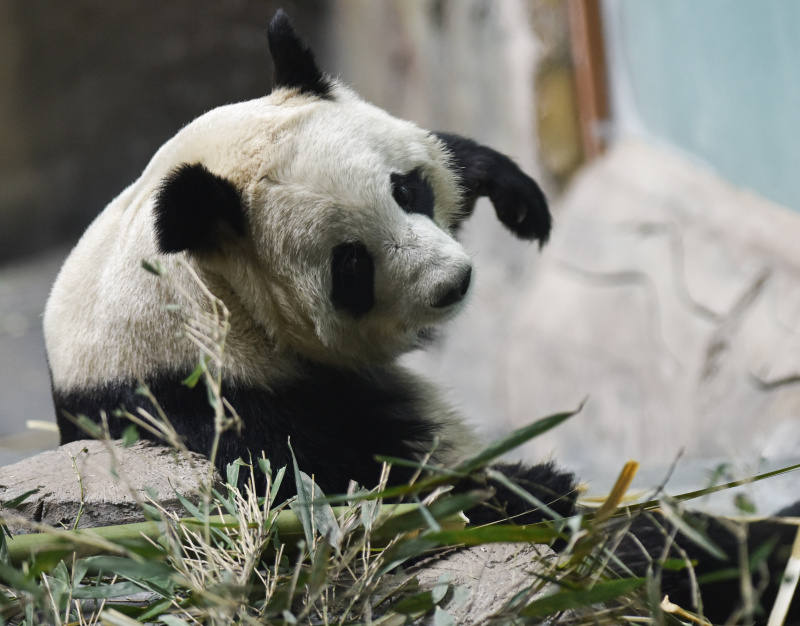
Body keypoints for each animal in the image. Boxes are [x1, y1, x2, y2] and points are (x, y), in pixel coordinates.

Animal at [44, 10, 798, 624]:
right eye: (350, 265)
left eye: (406, 190)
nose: (452, 283)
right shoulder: (221, 408)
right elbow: (359, 510)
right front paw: (534, 486)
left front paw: (509, 190)